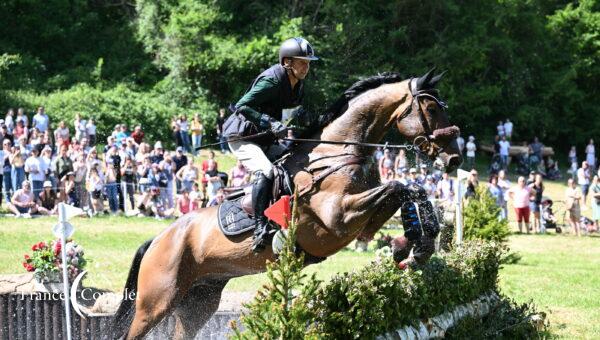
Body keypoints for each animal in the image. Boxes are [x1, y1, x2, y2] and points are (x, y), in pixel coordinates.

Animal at [110, 68, 462, 338]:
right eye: (431, 109)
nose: (455, 158)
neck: (338, 151)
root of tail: (158, 238)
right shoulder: (338, 219)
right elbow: (398, 185)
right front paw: (414, 244)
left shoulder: (363, 220)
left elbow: (409, 190)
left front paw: (414, 245)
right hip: (156, 301)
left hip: (199, 300)